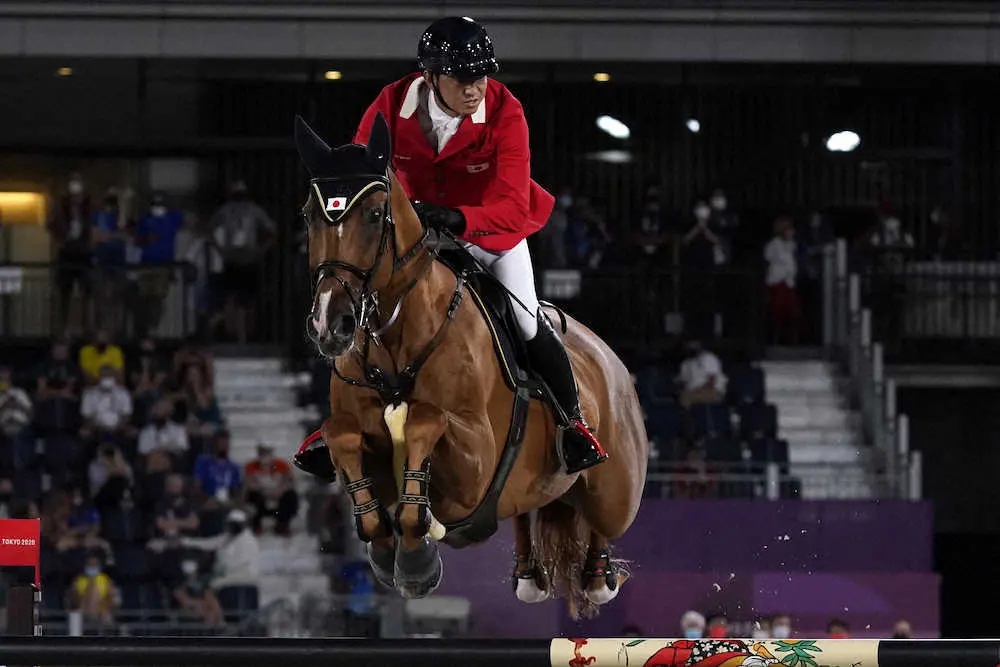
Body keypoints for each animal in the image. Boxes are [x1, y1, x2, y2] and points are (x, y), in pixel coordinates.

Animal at [295, 112, 648, 618]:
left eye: (375, 215)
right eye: (308, 216)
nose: (330, 324)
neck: (396, 338)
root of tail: (612, 361)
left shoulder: (475, 463)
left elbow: (426, 417)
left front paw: (416, 559)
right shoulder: (357, 437)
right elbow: (340, 432)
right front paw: (389, 551)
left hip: (614, 490)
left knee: (602, 518)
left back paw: (599, 576)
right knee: (525, 508)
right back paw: (528, 574)